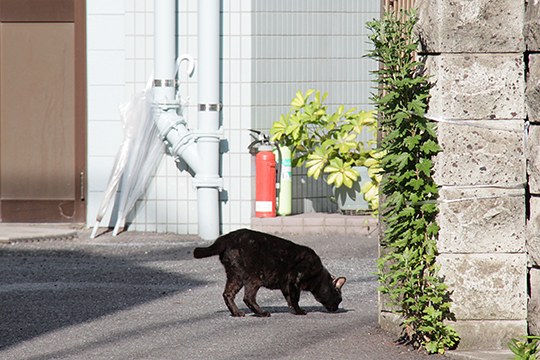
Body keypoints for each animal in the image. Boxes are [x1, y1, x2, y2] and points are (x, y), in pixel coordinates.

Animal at [194, 229, 346, 316]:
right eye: (339, 299)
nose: (337, 308)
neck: (319, 276)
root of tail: (226, 237)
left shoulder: (286, 285)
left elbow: (290, 298)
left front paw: (293, 310)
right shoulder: (294, 279)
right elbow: (295, 298)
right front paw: (300, 311)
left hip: (235, 276)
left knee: (228, 294)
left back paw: (237, 313)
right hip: (254, 278)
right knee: (248, 298)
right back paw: (262, 313)